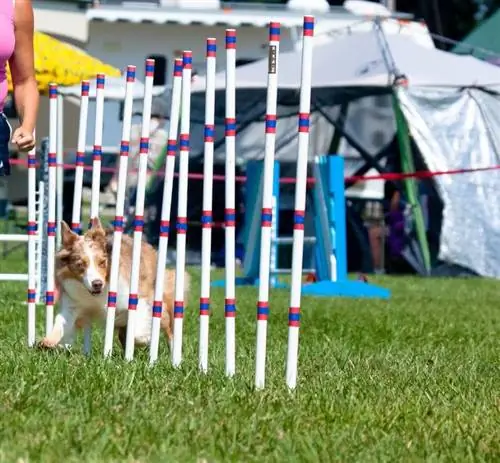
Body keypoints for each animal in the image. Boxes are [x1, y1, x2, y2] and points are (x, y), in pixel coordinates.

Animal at [39, 218, 189, 352]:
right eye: (80, 264)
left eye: (102, 262)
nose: (97, 284)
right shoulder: (73, 305)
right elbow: (61, 321)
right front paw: (48, 340)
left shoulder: (135, 297)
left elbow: (138, 327)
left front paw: (143, 339)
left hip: (159, 303)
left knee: (168, 328)